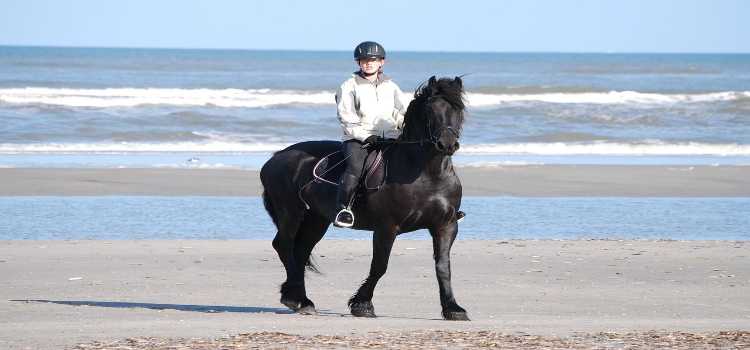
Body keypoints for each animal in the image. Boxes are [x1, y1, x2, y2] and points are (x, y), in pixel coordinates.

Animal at [262, 76, 468, 320]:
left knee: (300, 251)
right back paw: (296, 298)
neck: (427, 173)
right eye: (430, 109)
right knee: (284, 245)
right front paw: (362, 304)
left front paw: (453, 308)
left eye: (459, 108)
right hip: (291, 213)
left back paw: (300, 299)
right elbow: (379, 266)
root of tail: (276, 157)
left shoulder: (446, 225)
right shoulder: (387, 227)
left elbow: (443, 267)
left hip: (316, 220)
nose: (447, 144)